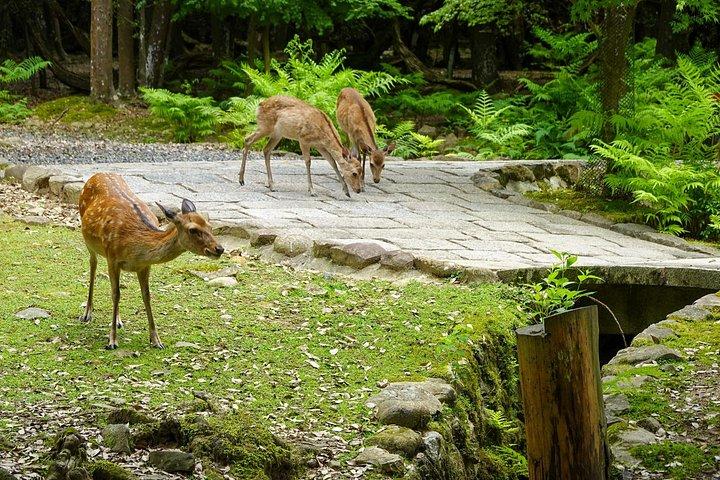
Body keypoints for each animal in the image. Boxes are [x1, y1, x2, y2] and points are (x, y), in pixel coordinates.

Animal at [78, 173, 224, 350]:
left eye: (210, 226)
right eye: (193, 230)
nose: (219, 249)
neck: (134, 245)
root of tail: (98, 174)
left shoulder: (144, 266)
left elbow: (146, 295)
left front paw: (156, 340)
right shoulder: (112, 258)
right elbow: (115, 294)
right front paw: (112, 340)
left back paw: (119, 320)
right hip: (88, 239)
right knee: (93, 264)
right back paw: (87, 313)